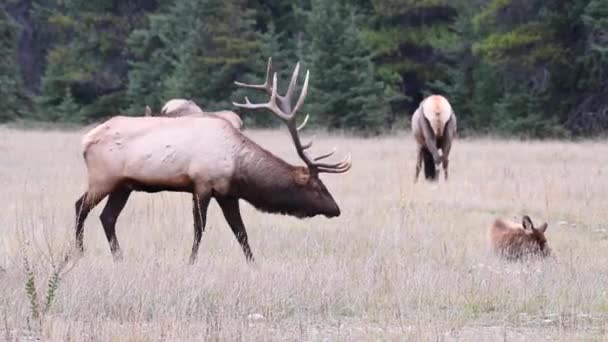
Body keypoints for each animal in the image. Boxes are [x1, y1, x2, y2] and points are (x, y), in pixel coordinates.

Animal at [75, 58, 352, 264]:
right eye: (317, 187)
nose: (336, 209)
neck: (238, 167)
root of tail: (86, 140)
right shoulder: (202, 185)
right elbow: (200, 229)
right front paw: (191, 262)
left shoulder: (228, 193)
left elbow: (241, 232)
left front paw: (254, 264)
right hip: (103, 178)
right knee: (80, 206)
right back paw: (78, 252)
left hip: (123, 185)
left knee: (107, 217)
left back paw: (119, 257)